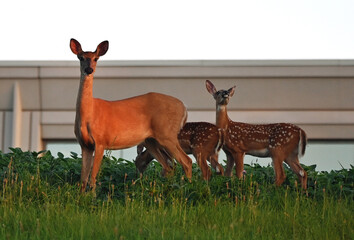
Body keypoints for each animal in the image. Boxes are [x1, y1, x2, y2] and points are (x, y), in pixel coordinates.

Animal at [70, 39, 194, 191]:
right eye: (81, 57)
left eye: (96, 58)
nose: (89, 70)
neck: (89, 114)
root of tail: (184, 107)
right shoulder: (84, 145)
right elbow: (83, 178)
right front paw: (82, 196)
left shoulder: (101, 141)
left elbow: (92, 178)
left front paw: (92, 196)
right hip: (151, 140)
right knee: (169, 166)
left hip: (167, 134)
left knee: (186, 161)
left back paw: (188, 188)